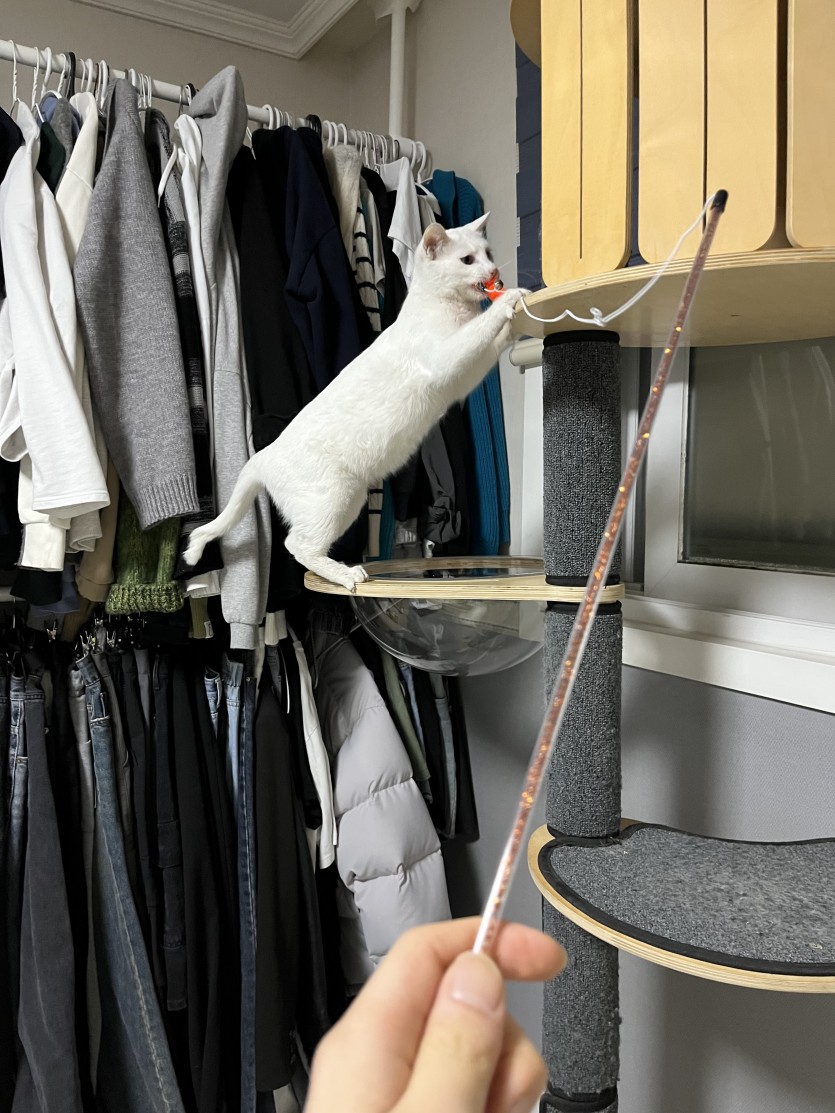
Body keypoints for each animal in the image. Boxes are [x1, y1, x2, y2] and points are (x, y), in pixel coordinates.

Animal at [183, 215, 527, 590]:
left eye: (488, 253)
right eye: (468, 260)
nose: (494, 270)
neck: (452, 309)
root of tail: (264, 455)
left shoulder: (464, 379)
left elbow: (490, 343)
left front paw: (519, 319)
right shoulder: (447, 360)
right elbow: (480, 330)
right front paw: (510, 300)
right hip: (337, 498)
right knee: (296, 545)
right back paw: (346, 574)